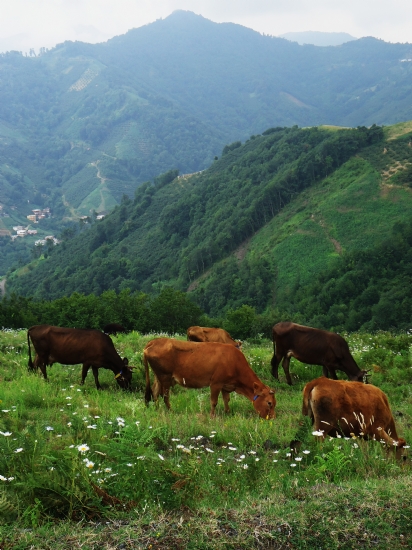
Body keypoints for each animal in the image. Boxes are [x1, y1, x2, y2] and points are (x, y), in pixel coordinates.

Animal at [143, 338, 276, 420]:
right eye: (269, 403)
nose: (272, 418)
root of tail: (154, 341)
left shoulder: (226, 385)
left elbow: (226, 399)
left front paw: (228, 412)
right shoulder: (216, 383)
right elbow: (214, 401)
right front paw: (212, 416)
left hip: (158, 377)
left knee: (155, 392)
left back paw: (157, 409)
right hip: (165, 377)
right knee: (165, 396)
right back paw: (171, 411)